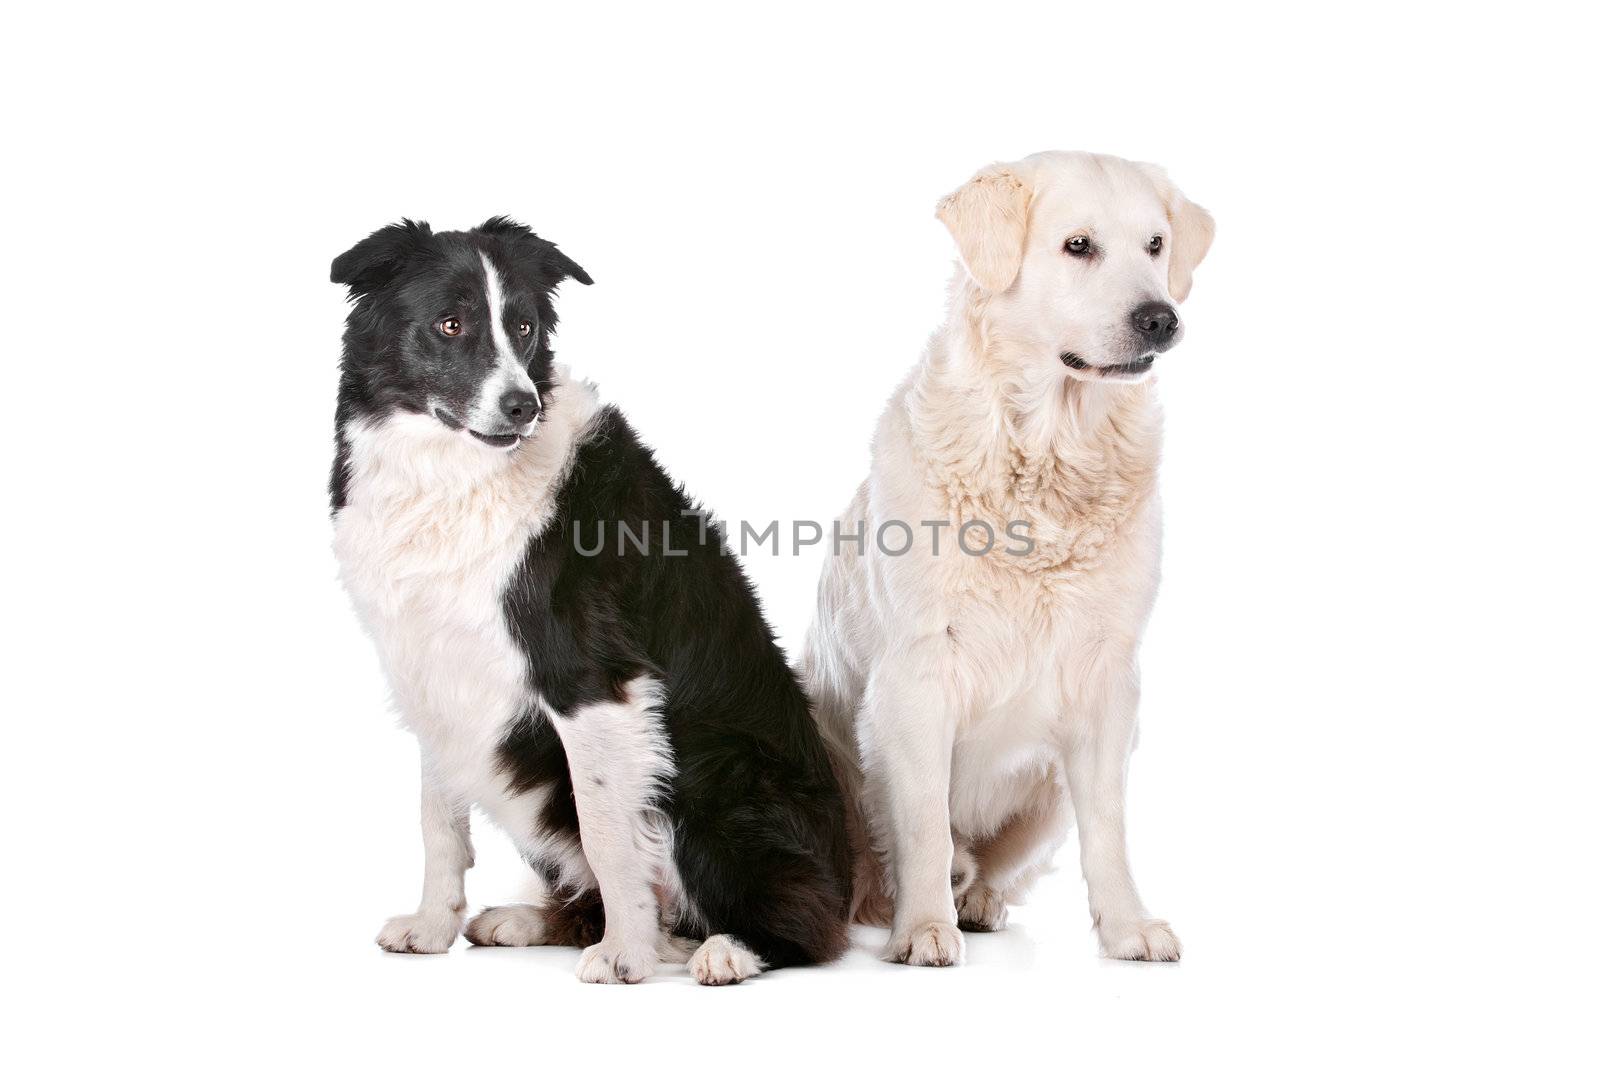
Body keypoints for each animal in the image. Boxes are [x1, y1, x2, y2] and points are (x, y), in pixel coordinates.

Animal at [332, 217, 857, 985]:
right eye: (450, 323)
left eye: (523, 325)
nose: (521, 405)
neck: (456, 472)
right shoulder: (430, 666)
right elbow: (439, 823)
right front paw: (431, 928)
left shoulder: (591, 679)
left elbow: (610, 832)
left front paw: (625, 953)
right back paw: (535, 921)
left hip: (712, 769)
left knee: (805, 924)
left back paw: (726, 948)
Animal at [800, 151, 1209, 966]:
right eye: (1078, 245)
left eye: (1155, 245)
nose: (1161, 318)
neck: (1048, 449)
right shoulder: (917, 676)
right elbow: (924, 821)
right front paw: (924, 927)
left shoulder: (1109, 682)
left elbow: (1108, 828)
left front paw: (1127, 926)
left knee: (998, 862)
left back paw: (978, 896)